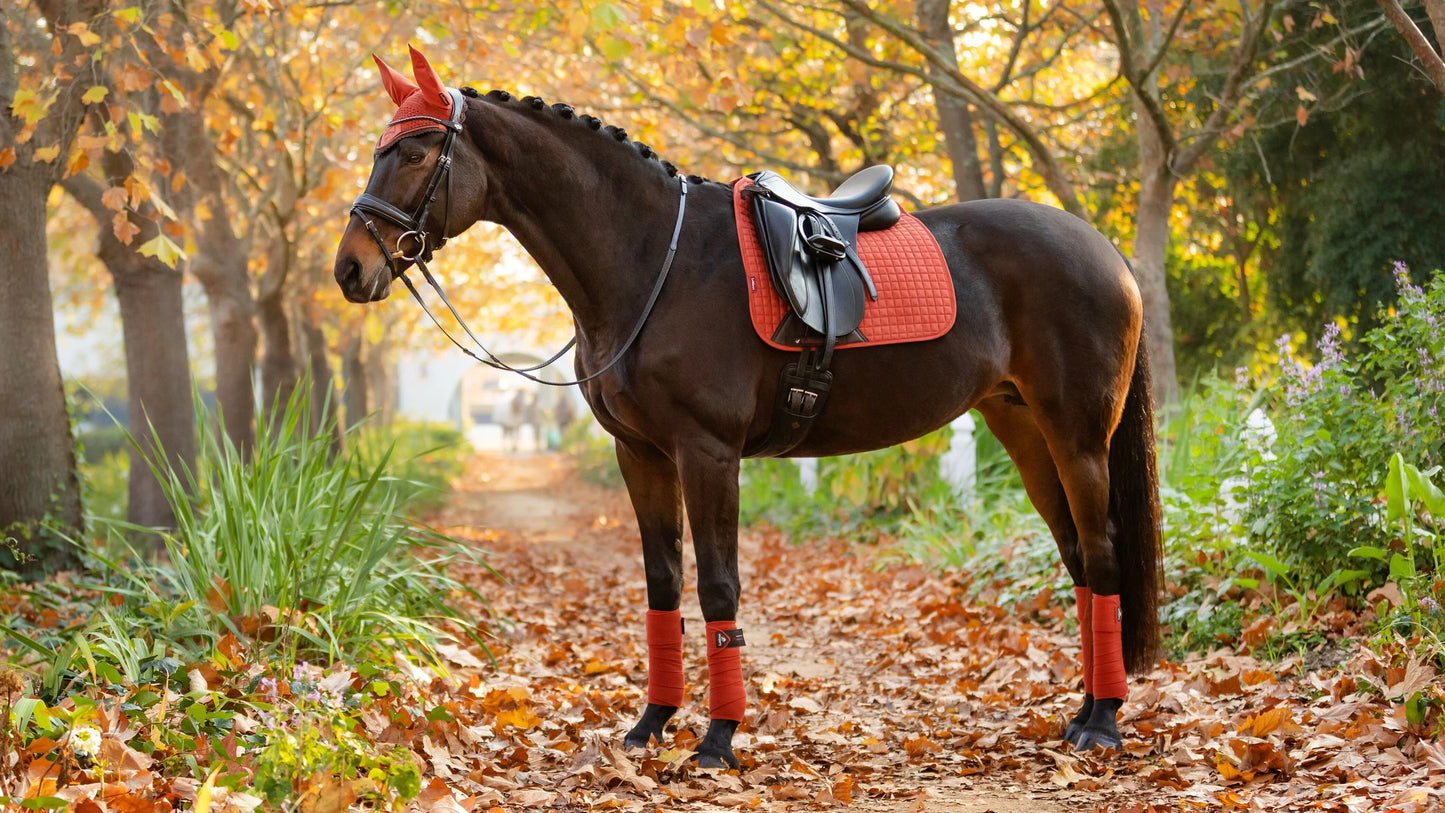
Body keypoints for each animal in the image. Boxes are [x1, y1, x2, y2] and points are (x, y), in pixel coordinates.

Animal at [335, 47, 1161, 774]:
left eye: (415, 152)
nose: (350, 268)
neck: (651, 261)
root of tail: (1103, 249)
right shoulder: (640, 454)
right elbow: (662, 583)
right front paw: (651, 723)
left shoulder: (707, 451)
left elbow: (717, 588)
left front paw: (717, 738)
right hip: (1020, 425)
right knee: (1078, 557)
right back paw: (1082, 711)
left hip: (1076, 434)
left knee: (1102, 551)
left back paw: (1103, 722)